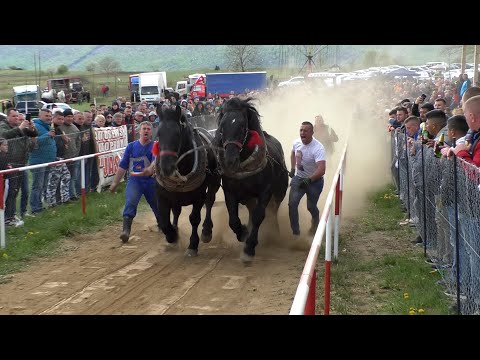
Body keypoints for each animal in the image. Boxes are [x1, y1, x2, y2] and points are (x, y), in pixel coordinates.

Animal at [150, 104, 221, 256]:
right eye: (159, 134)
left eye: (177, 134)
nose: (166, 167)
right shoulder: (162, 195)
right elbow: (164, 221)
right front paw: (172, 235)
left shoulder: (198, 196)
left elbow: (194, 218)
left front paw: (193, 244)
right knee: (176, 211)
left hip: (214, 183)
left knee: (210, 201)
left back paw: (207, 230)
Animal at [215, 97, 288, 262]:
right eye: (222, 125)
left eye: (242, 125)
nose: (230, 160)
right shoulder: (230, 193)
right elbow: (233, 220)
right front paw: (243, 233)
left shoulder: (265, 193)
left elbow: (258, 216)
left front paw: (249, 248)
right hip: (249, 199)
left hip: (279, 193)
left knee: (273, 211)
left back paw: (275, 233)